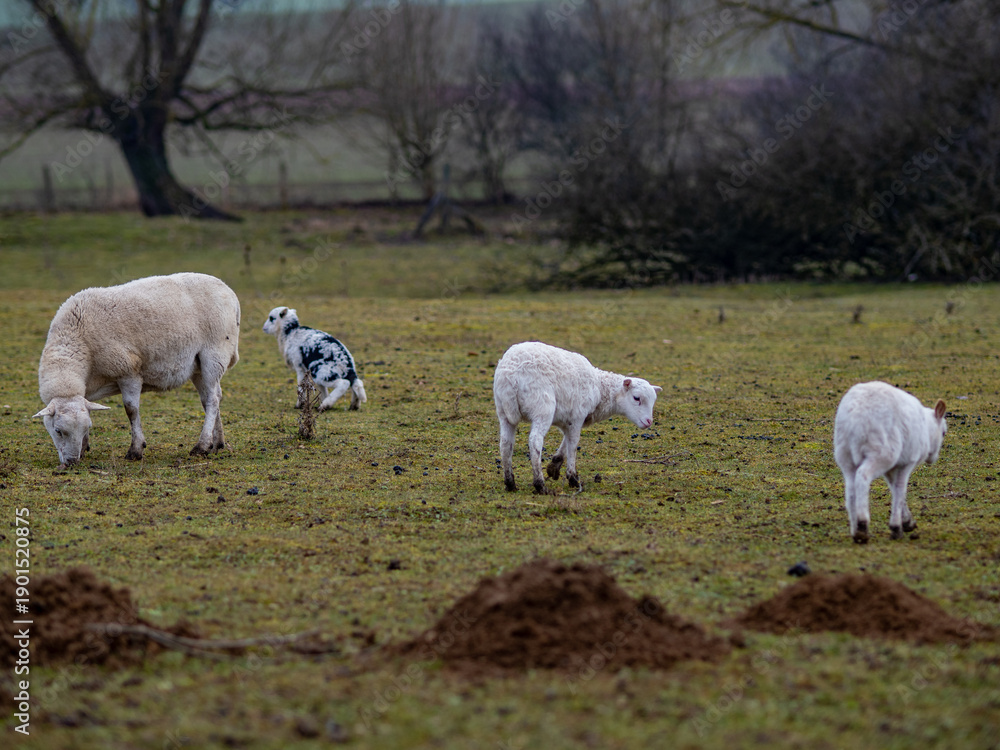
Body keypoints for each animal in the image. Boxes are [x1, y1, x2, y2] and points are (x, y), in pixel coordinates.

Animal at [34, 272, 240, 468]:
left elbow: (131, 410)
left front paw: (135, 450)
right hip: (197, 366)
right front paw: (84, 448)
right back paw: (217, 444)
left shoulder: (129, 371)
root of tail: (229, 292)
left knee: (212, 400)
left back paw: (202, 446)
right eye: (58, 431)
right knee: (212, 397)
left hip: (214, 353)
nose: (71, 462)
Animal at [493, 341, 662, 494]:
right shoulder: (577, 415)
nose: (649, 422)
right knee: (535, 441)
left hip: (503, 411)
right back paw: (540, 484)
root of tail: (511, 375)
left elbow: (566, 441)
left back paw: (510, 483)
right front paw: (572, 478)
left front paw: (554, 466)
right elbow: (573, 444)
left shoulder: (567, 419)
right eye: (636, 398)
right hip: (542, 408)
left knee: (505, 444)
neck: (600, 388)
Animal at [833, 381, 947, 544]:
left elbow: (894, 488)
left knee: (850, 488)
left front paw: (907, 521)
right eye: (943, 433)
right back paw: (862, 525)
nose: (933, 459)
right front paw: (896, 527)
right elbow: (900, 488)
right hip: (881, 452)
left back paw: (856, 531)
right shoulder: (908, 461)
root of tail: (855, 418)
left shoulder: (891, 469)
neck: (927, 429)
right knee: (862, 477)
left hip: (844, 454)